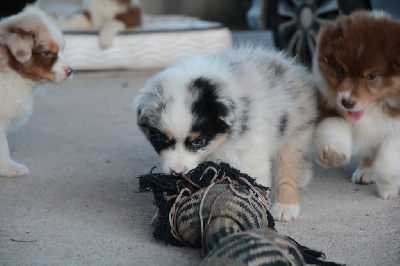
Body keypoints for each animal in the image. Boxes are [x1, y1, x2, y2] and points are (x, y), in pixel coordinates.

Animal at [134, 46, 316, 221]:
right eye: (163, 139)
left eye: (198, 141)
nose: (177, 172)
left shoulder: (250, 149)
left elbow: (253, 179)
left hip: (294, 134)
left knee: (290, 170)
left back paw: (285, 208)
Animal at [314, 11, 400, 198]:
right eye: (341, 71)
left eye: (372, 76)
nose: (347, 102)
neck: (374, 108)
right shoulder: (328, 105)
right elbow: (334, 125)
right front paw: (333, 154)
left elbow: (389, 161)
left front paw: (388, 189)